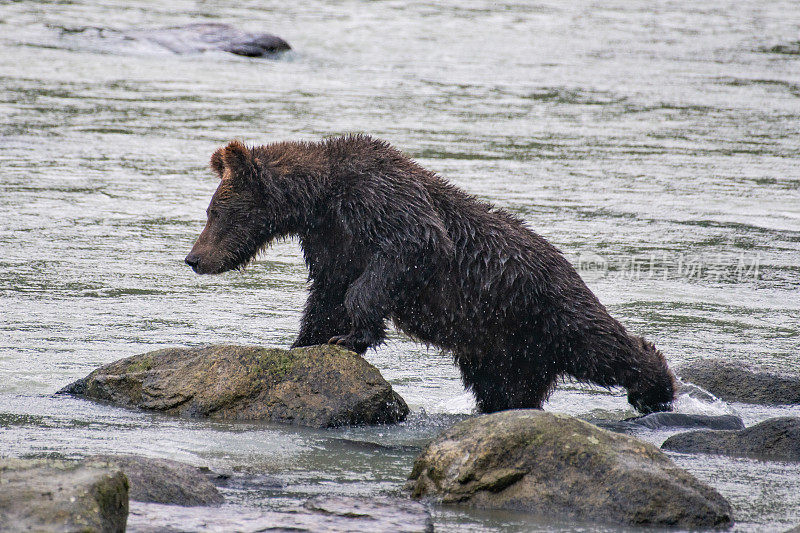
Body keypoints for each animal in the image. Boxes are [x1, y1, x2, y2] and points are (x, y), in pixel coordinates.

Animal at [186, 134, 676, 412]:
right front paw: (306, 342)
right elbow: (326, 294)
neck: (321, 199)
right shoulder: (331, 241)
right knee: (505, 391)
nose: (193, 258)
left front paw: (353, 335)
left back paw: (655, 388)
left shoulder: (381, 201)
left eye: (214, 212)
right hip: (497, 346)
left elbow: (406, 250)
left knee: (600, 345)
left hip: (544, 306)